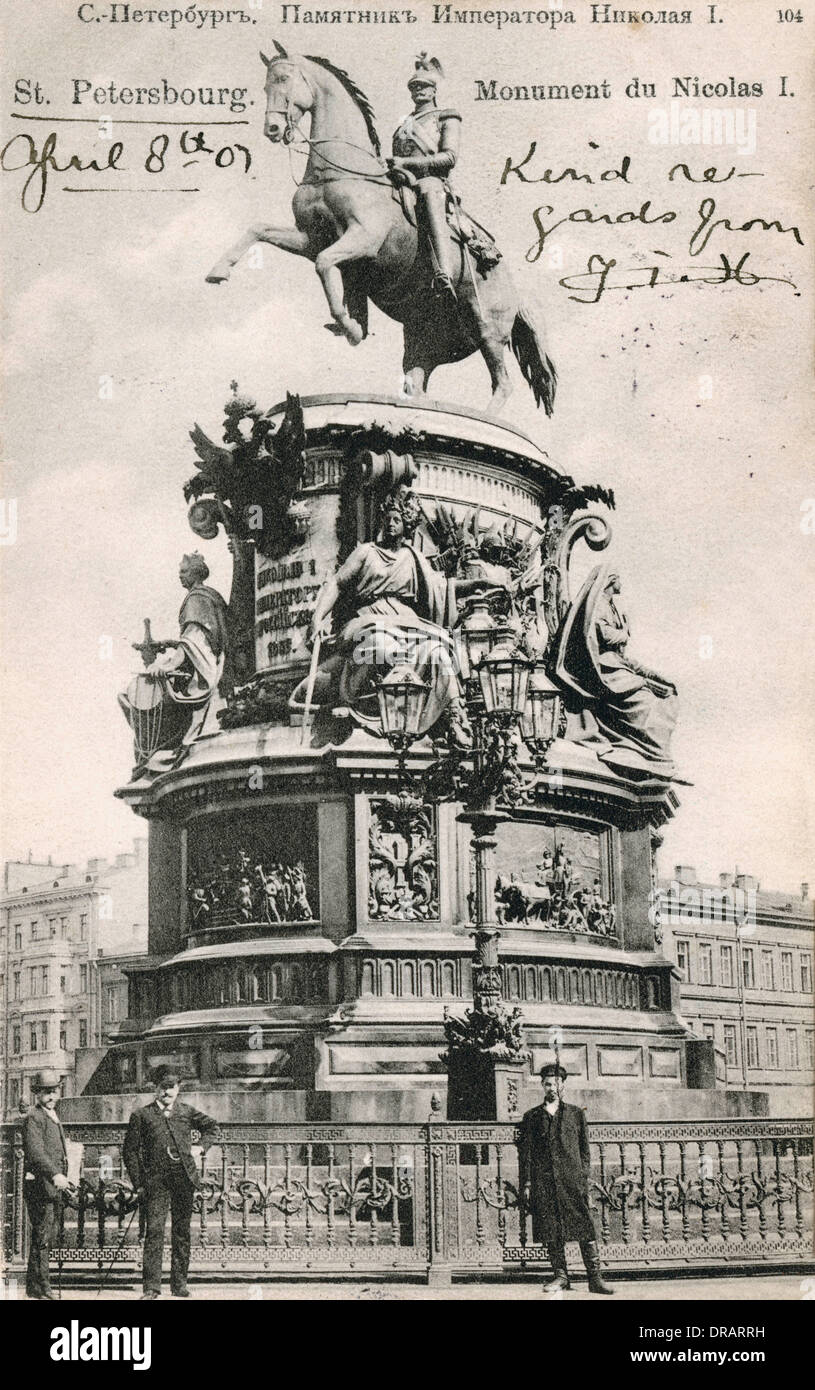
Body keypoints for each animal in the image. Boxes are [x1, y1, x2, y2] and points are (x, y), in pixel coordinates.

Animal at [205, 46, 556, 414]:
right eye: (265, 85)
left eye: (284, 78)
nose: (272, 128)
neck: (339, 171)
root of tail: (516, 291)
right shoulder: (309, 239)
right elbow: (259, 230)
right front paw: (219, 270)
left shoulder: (363, 238)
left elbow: (325, 264)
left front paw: (348, 324)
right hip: (424, 336)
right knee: (417, 380)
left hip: (486, 326)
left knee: (502, 382)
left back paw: (481, 415)